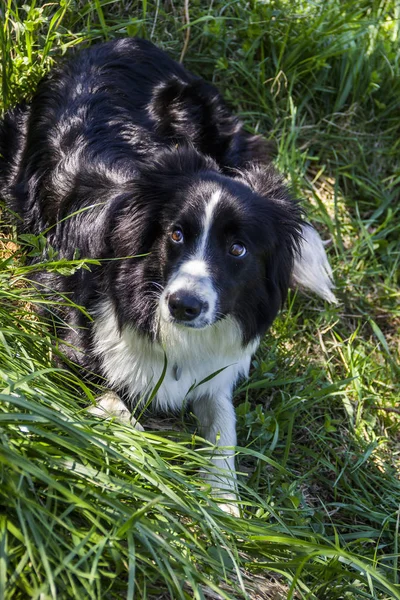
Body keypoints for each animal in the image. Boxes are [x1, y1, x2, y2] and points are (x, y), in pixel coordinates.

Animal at [0, 37, 338, 510]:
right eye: (176, 234)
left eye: (238, 249)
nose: (183, 305)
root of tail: (125, 41)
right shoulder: (72, 353)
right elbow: (129, 423)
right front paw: (169, 489)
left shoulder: (216, 374)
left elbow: (224, 428)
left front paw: (225, 505)